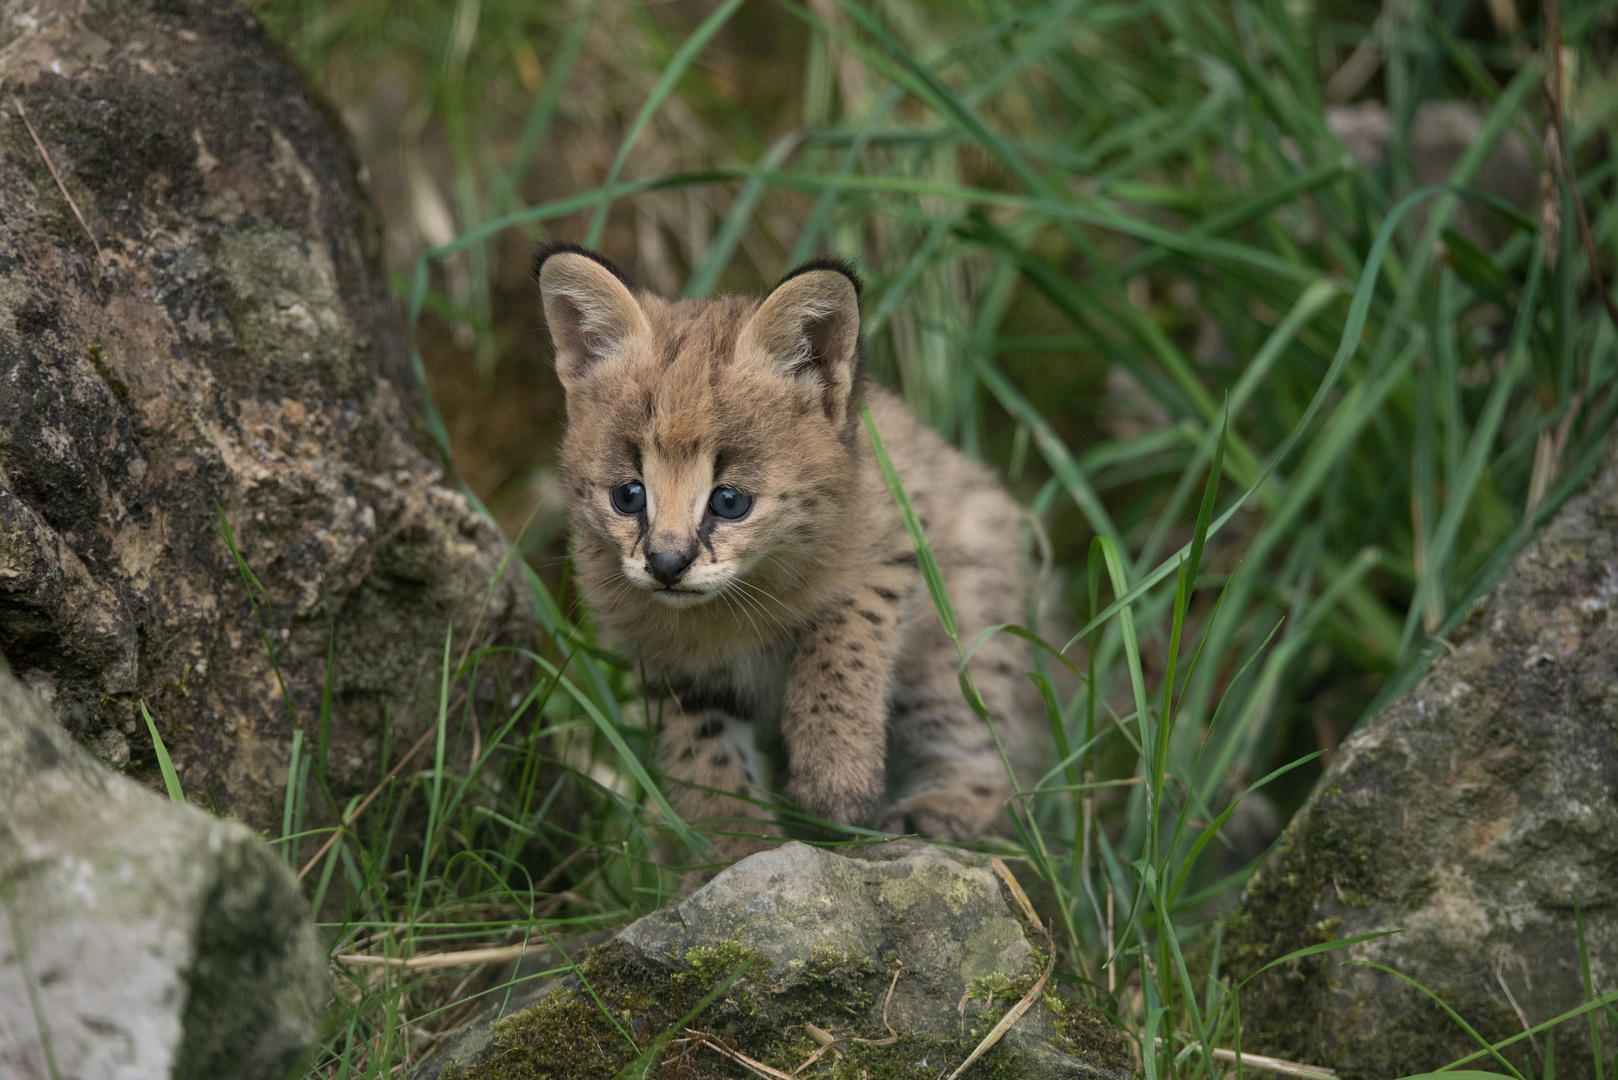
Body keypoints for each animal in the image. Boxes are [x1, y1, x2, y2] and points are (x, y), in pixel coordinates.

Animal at [530, 244, 1035, 861]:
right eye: (629, 496)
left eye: (730, 501)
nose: (667, 565)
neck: (732, 603)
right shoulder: (675, 666)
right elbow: (705, 755)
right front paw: (734, 849)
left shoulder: (899, 540)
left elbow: (842, 638)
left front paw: (835, 776)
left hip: (964, 627)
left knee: (992, 752)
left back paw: (943, 807)